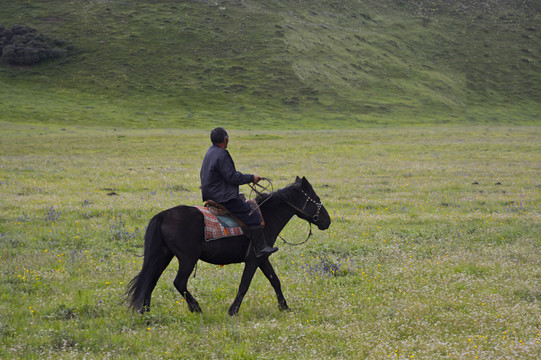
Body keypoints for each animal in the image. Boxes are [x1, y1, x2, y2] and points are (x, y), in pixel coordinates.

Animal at [126, 176, 330, 316]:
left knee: (151, 280)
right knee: (179, 282)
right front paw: (233, 311)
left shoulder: (263, 258)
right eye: (315, 197)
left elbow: (275, 280)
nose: (327, 221)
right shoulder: (254, 259)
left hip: (163, 255)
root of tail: (163, 215)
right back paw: (196, 308)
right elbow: (245, 284)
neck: (267, 215)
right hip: (188, 258)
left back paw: (146, 311)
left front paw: (284, 307)